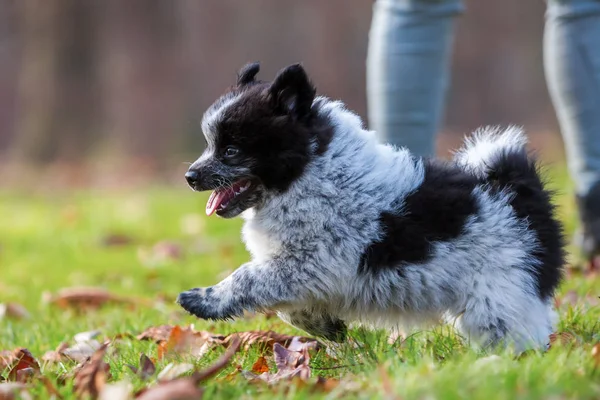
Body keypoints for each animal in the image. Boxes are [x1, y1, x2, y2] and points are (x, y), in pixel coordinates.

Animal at [177, 61, 564, 350]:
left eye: (231, 150)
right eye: (210, 145)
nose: (190, 177)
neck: (311, 168)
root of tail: (519, 195)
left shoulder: (308, 262)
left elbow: (247, 278)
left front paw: (204, 299)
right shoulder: (305, 273)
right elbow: (290, 310)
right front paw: (325, 325)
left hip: (499, 297)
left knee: (517, 335)